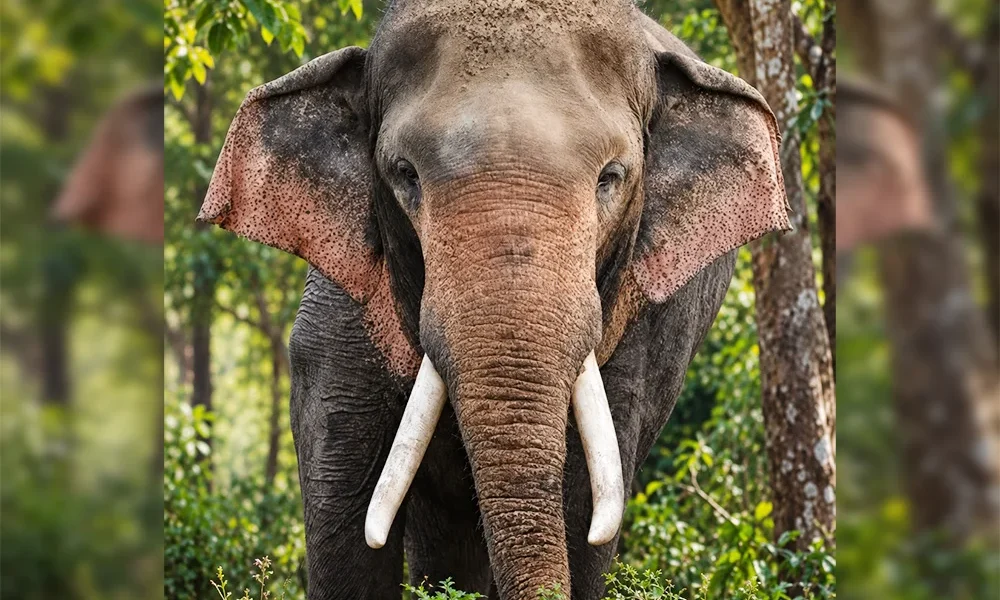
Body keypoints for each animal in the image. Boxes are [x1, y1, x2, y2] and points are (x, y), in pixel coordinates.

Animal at [198, 2, 789, 599]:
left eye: (611, 177)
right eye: (405, 174)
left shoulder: (642, 327)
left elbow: (588, 499)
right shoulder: (341, 310)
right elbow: (342, 485)